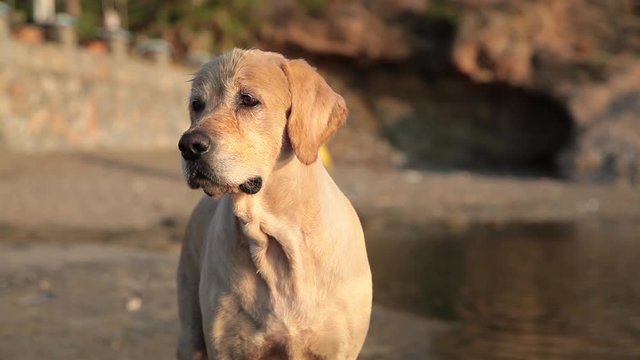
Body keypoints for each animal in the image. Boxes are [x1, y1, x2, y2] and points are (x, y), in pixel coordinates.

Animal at [178, 48, 372, 360]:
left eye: (248, 99)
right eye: (197, 104)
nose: (188, 146)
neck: (277, 240)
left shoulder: (338, 349)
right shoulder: (226, 346)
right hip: (190, 332)